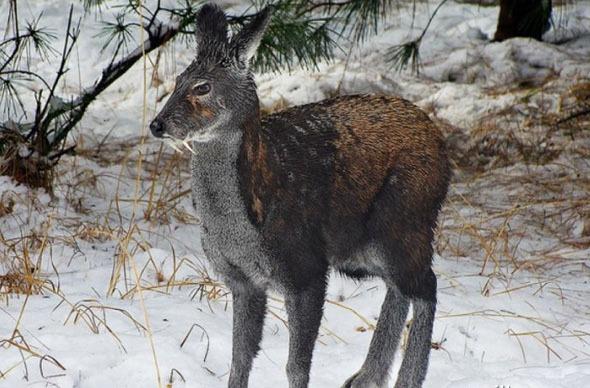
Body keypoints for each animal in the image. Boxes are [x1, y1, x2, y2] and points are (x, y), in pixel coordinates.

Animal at [150, 3, 450, 388]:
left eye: (203, 86)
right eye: (177, 81)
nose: (157, 124)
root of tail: (440, 143)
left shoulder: (306, 269)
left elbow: (296, 365)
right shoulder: (243, 281)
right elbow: (240, 358)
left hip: (405, 219)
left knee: (425, 284)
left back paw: (403, 380)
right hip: (363, 247)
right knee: (400, 287)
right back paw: (365, 377)